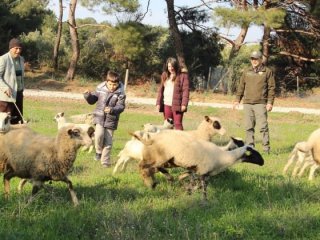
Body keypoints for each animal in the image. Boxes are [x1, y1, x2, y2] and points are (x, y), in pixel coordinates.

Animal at [134, 130, 264, 200]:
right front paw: (203, 201)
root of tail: (151, 136)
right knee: (143, 167)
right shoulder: (202, 172)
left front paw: (188, 190)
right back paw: (151, 183)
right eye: (255, 154)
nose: (263, 163)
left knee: (150, 168)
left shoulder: (197, 171)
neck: (223, 156)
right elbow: (203, 188)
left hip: (163, 160)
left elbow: (192, 182)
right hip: (158, 158)